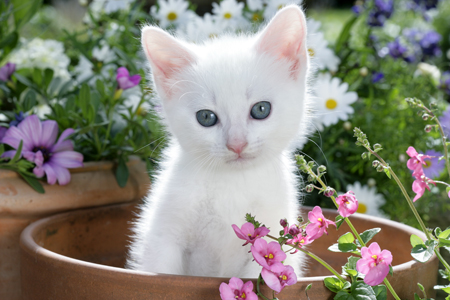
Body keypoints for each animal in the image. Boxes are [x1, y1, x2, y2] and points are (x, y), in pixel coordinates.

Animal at [125, 4, 312, 278]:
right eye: (206, 117)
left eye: (261, 109)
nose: (237, 144)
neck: (231, 183)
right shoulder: (163, 234)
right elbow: (161, 271)